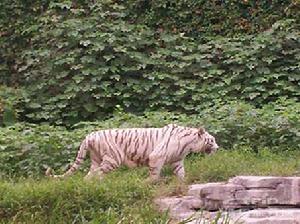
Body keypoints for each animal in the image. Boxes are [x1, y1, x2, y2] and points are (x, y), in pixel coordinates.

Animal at [45, 124, 219, 182]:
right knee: (99, 173)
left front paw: (183, 181)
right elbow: (154, 173)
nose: (218, 148)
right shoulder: (156, 157)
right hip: (113, 159)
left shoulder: (176, 161)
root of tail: (90, 135)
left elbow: (181, 173)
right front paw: (149, 182)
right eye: (212, 140)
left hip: (96, 159)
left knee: (89, 175)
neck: (188, 145)